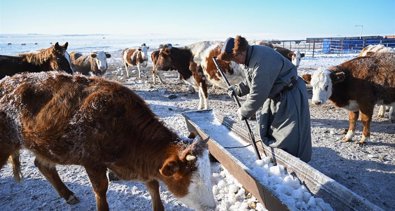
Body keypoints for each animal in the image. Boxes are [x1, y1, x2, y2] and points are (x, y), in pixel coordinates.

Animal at [0, 71, 217, 211]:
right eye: (193, 180)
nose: (211, 207)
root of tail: (6, 80)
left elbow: (154, 185)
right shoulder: (92, 162)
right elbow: (101, 190)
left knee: (43, 165)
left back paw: (68, 194)